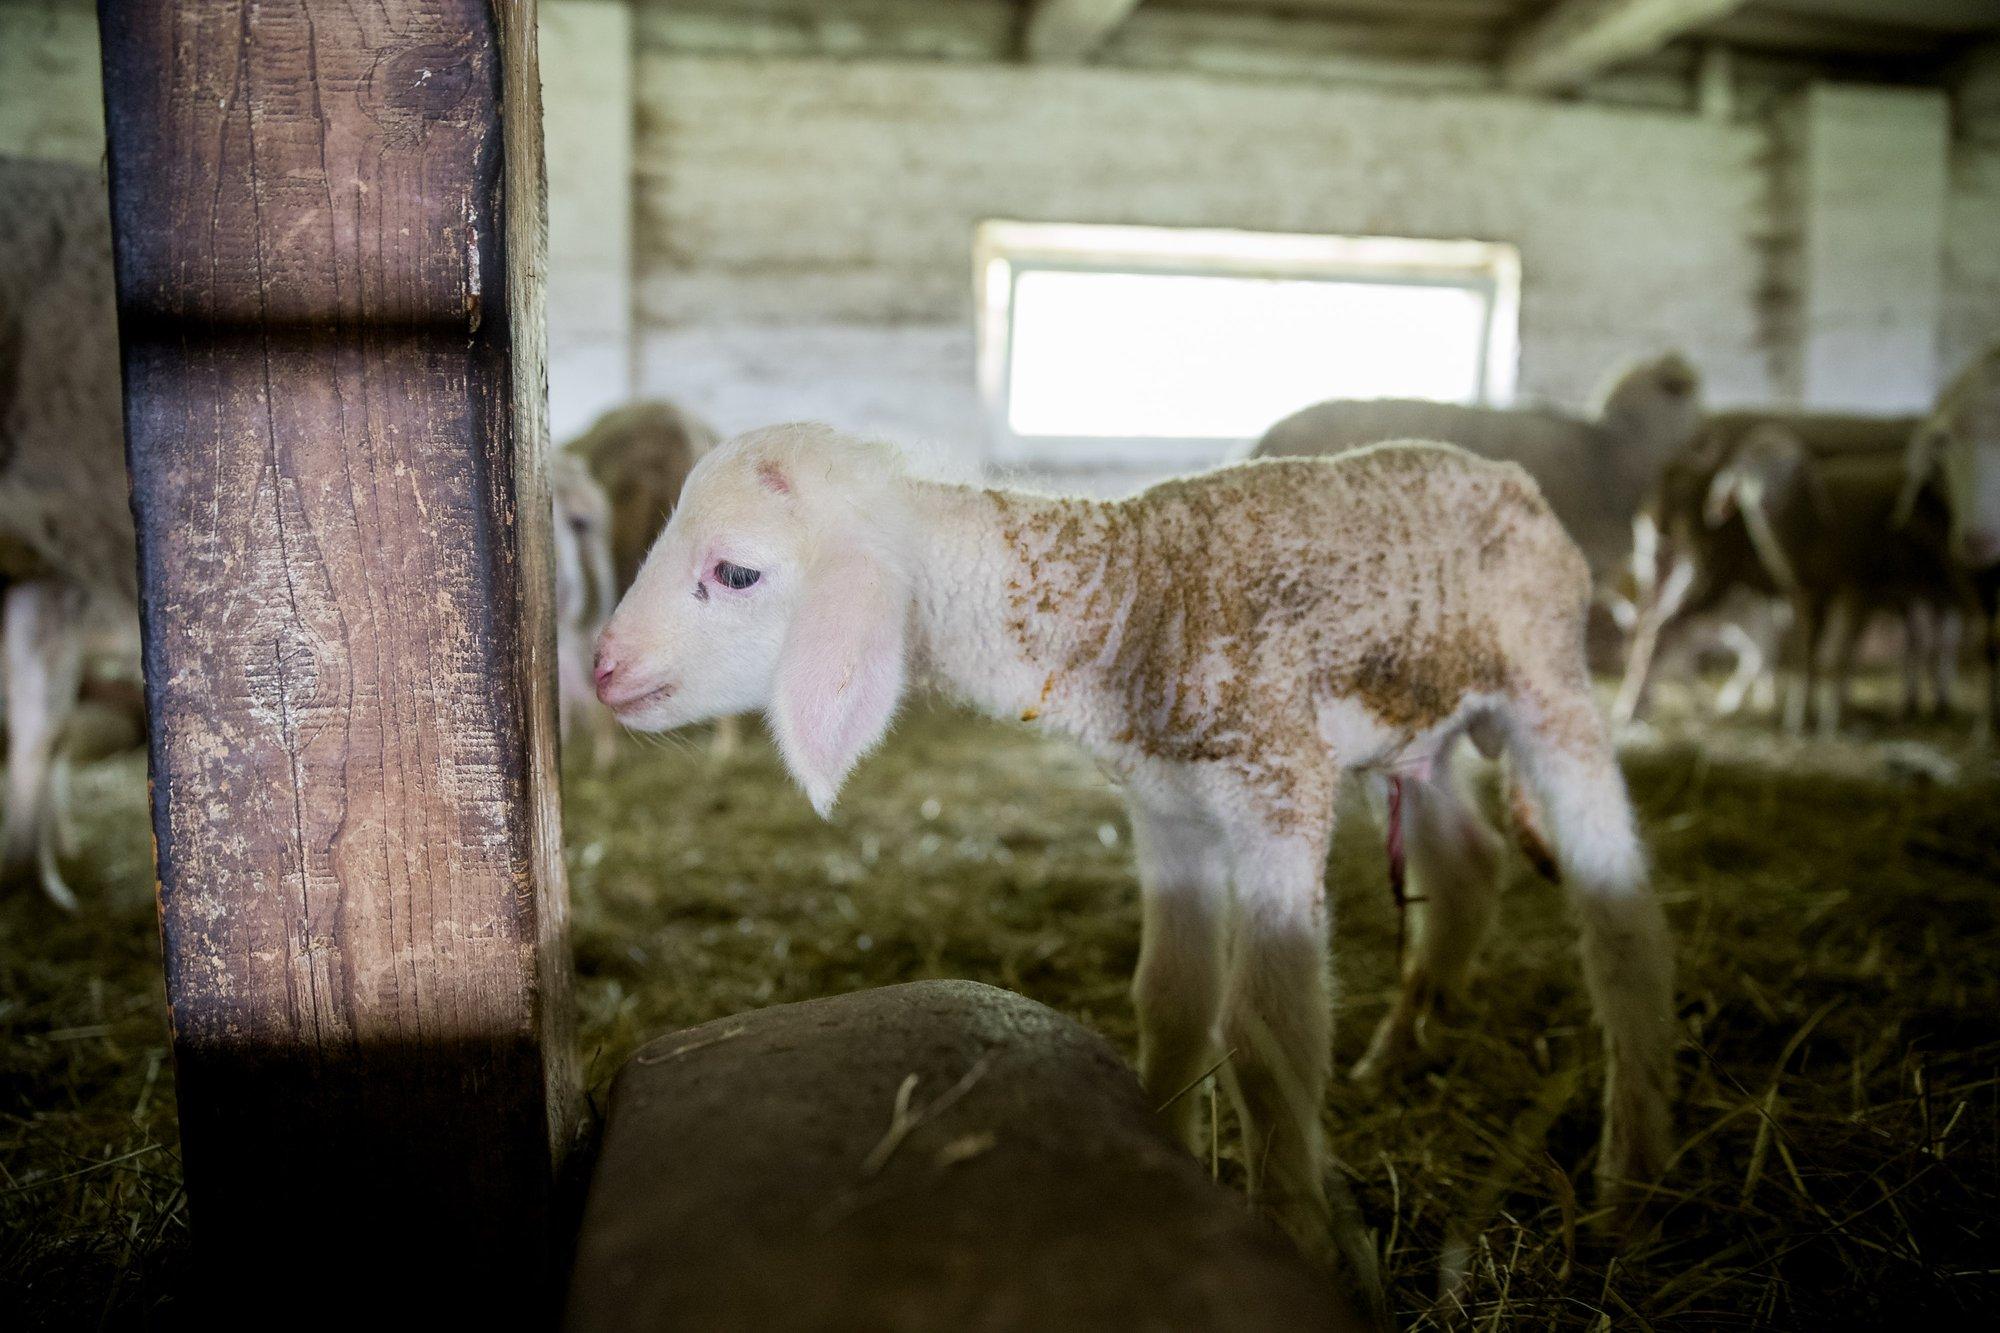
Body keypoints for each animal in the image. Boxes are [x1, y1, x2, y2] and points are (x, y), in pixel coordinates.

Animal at [588, 422, 1672, 1256]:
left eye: (735, 571)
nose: (601, 669)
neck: (1132, 594)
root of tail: (1505, 474)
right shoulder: (1167, 813)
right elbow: (1172, 999)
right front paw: (1163, 1139)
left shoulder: (1278, 789)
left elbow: (1263, 1035)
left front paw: (1294, 1228)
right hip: (1423, 733)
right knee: (1469, 864)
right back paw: (1402, 1045)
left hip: (1549, 690)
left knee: (1622, 924)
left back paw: (1630, 1172)